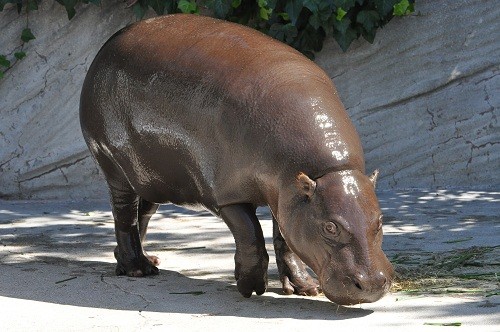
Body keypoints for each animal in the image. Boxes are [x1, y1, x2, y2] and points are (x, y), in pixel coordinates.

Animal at [80, 14, 394, 304]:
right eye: (330, 227)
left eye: (380, 220)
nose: (372, 285)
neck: (331, 170)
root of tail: (109, 44)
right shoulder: (228, 196)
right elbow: (251, 236)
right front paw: (251, 288)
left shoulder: (287, 197)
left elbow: (286, 241)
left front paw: (305, 289)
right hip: (113, 164)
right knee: (124, 217)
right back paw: (137, 269)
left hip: (150, 176)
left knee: (142, 214)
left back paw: (145, 261)